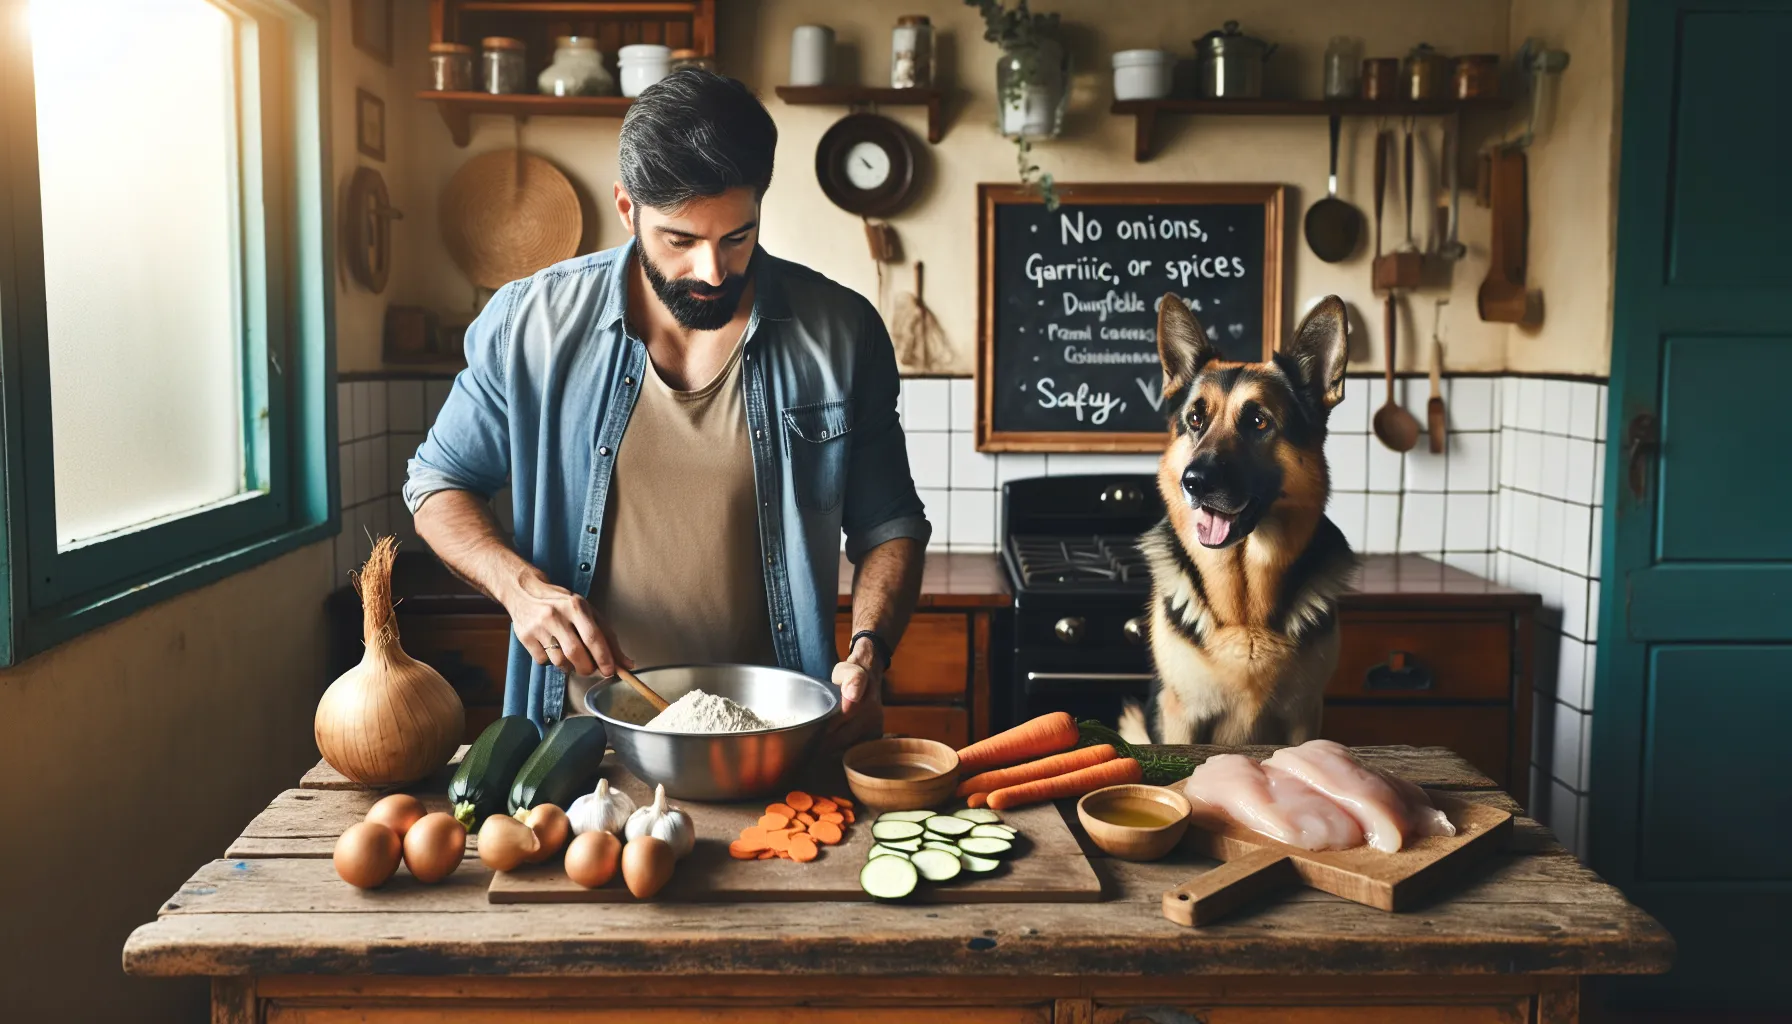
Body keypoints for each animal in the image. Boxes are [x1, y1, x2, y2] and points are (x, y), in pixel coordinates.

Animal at [1118, 294, 1354, 746]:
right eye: (1195, 420)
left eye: (1258, 421)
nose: (1193, 482)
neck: (1245, 617)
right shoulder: (1180, 717)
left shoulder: (1304, 717)